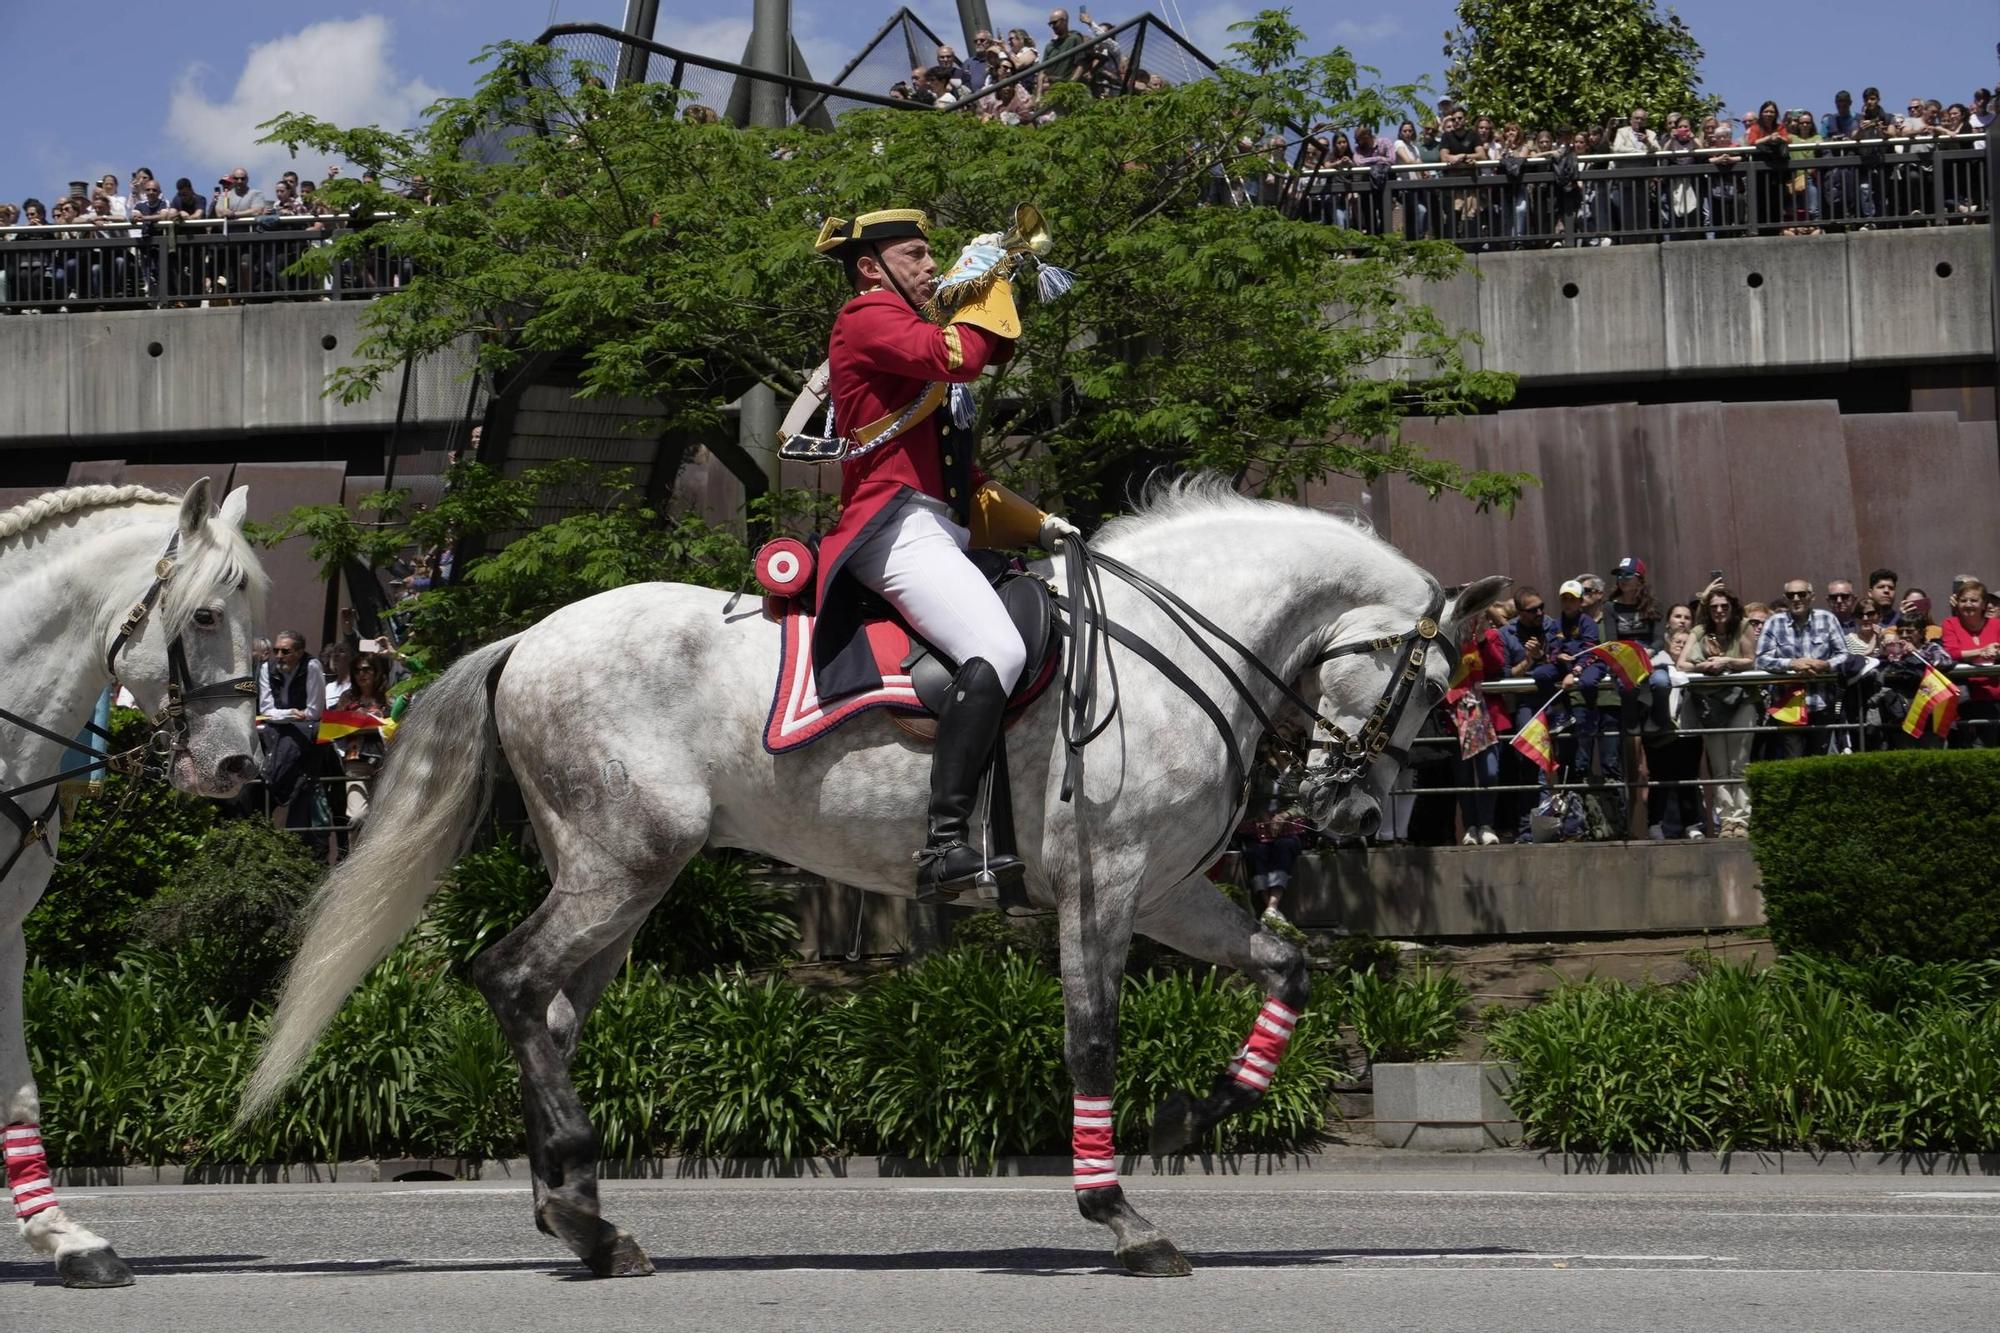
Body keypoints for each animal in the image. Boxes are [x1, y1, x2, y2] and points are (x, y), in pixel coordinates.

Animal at [246, 480, 1504, 1280]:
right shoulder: (1103, 885)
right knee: (509, 980)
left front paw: (1198, 1109)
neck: (1167, 646)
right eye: (1421, 684)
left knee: (549, 1012)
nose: (1355, 813)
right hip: (622, 864)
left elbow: (1289, 966)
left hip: (621, 883)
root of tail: (529, 639)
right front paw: (1118, 1213)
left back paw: (580, 1215)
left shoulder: (1167, 892)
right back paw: (581, 1204)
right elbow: (1091, 1035)